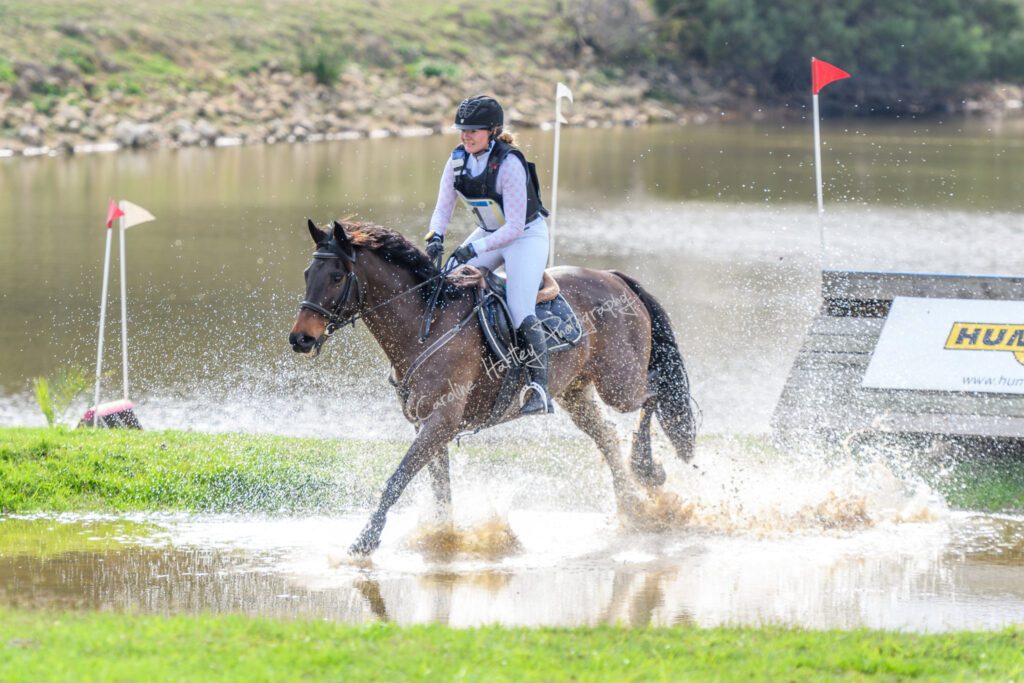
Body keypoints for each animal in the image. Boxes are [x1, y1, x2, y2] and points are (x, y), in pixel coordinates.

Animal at [290, 219, 696, 557]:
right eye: (308, 272)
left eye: (337, 276)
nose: (300, 339)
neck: (426, 325)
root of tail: (613, 277)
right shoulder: (427, 425)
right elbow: (441, 490)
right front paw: (443, 540)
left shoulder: (441, 420)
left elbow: (398, 479)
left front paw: (366, 540)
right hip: (575, 392)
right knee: (608, 438)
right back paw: (634, 510)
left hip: (619, 384)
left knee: (655, 393)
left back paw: (646, 468)